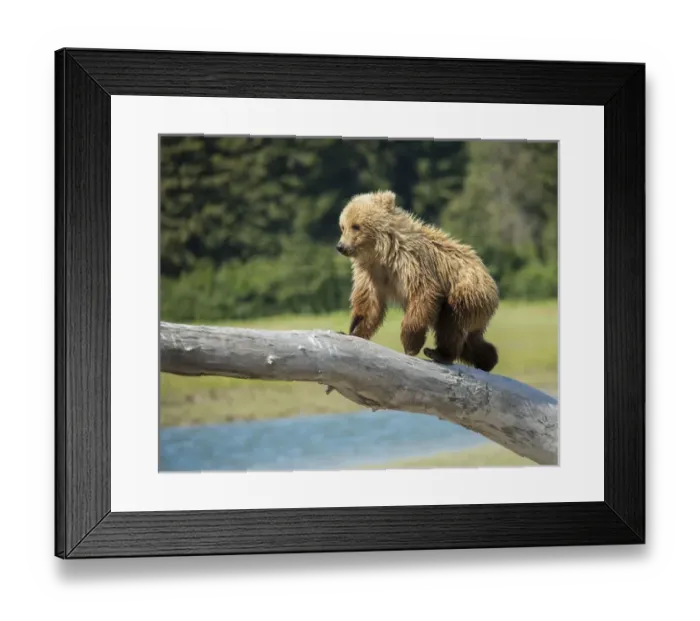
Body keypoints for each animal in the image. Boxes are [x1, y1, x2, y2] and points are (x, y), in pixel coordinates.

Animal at [335, 189, 500, 372]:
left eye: (356, 226)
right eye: (342, 226)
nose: (341, 246)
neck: (382, 252)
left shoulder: (412, 262)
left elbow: (423, 293)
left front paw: (410, 344)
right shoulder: (371, 273)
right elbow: (369, 303)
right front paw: (352, 331)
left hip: (468, 290)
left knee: (451, 321)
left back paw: (440, 353)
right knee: (471, 340)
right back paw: (487, 359)